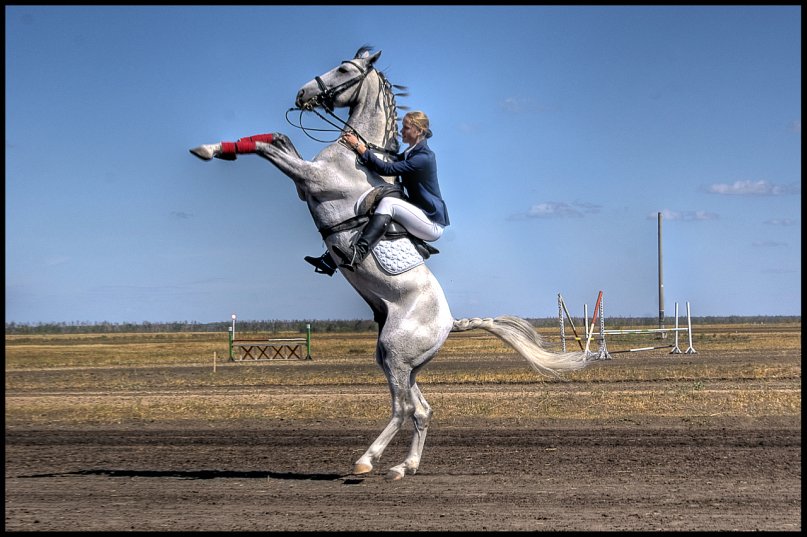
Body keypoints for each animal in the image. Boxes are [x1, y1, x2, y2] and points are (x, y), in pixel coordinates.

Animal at [189, 47, 592, 482]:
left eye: (343, 69)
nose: (302, 94)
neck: (356, 156)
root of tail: (450, 321)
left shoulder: (313, 178)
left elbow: (270, 149)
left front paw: (210, 149)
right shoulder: (303, 182)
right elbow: (279, 138)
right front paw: (213, 146)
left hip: (396, 352)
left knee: (403, 409)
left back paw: (367, 460)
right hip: (399, 362)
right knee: (421, 410)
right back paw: (404, 466)